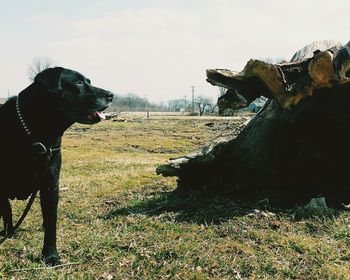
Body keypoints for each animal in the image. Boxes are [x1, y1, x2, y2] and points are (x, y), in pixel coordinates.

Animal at [0, 66, 112, 264]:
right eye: (78, 82)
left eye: (89, 81)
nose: (111, 95)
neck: (37, 135)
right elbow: (6, 210)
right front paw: (9, 232)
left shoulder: (50, 183)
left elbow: (51, 220)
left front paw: (50, 255)